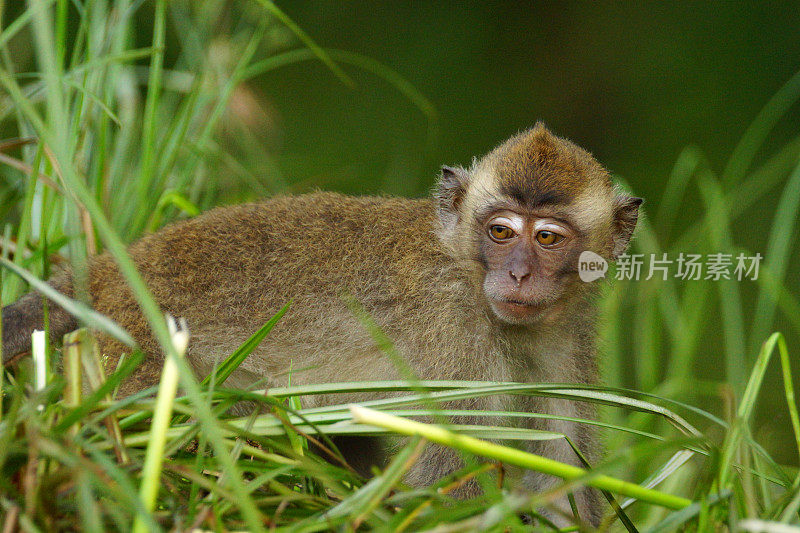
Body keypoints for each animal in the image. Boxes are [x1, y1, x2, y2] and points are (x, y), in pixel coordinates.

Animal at [0, 123, 636, 524]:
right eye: (501, 231)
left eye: (547, 238)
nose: (519, 273)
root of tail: (109, 270)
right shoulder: (454, 334)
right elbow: (448, 476)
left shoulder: (566, 337)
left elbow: (558, 477)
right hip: (133, 356)